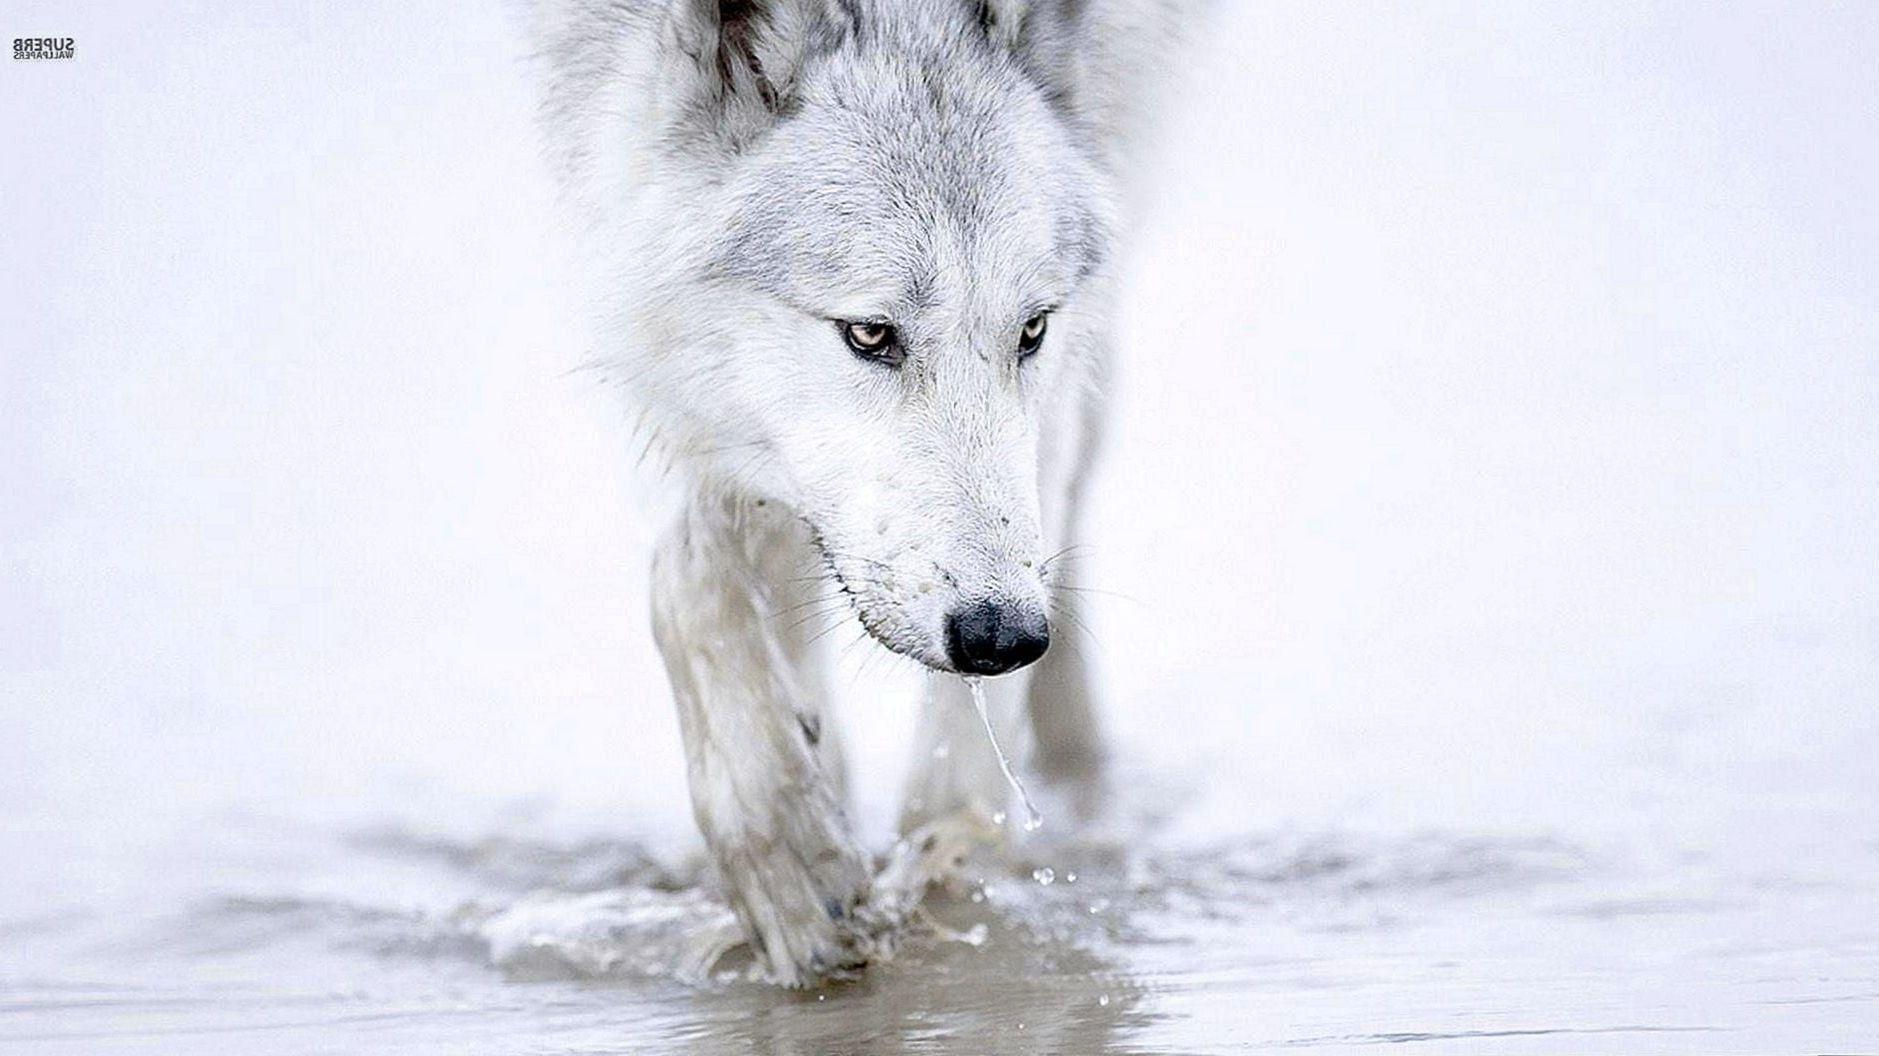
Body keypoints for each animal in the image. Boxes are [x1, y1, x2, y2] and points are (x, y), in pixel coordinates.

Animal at [530, 0, 1183, 986]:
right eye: (870, 334)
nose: (1002, 635)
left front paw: (943, 873)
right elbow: (691, 577)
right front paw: (793, 855)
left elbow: (958, 766)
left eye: (1030, 330)